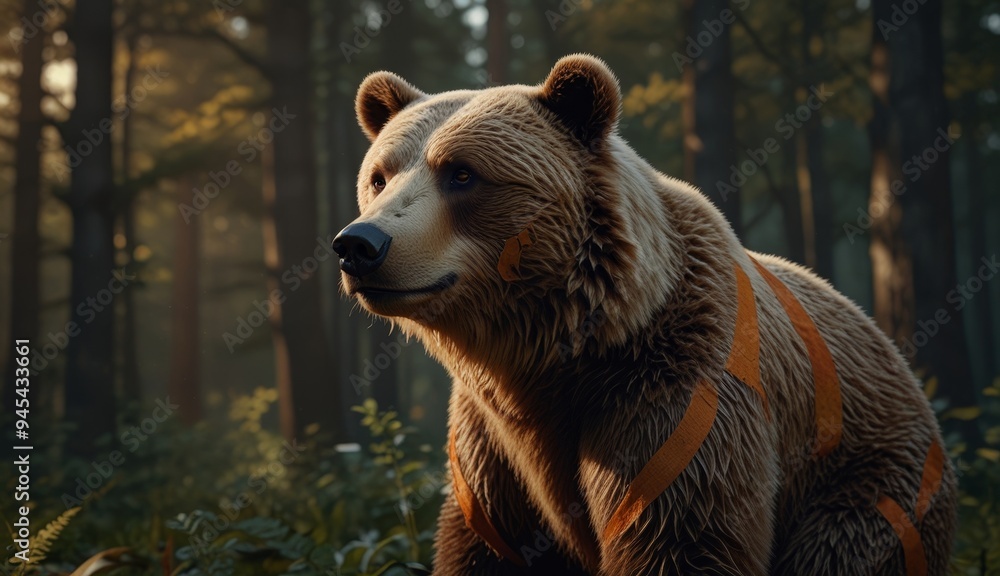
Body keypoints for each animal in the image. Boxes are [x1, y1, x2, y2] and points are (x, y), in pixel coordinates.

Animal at [333, 54, 957, 575]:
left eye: (461, 172)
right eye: (380, 176)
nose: (359, 244)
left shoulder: (673, 389)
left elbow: (679, 533)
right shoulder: (491, 446)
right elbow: (485, 546)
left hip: (867, 483)